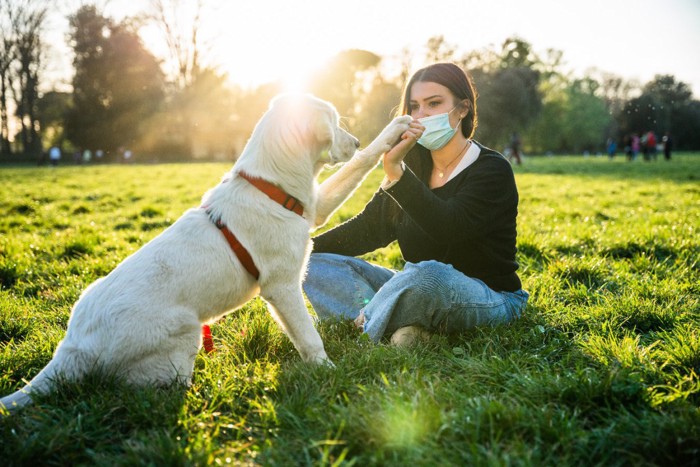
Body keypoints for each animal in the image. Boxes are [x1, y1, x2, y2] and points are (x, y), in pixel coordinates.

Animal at [1, 95, 410, 414]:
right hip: (183, 330)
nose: (355, 140)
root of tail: (72, 347)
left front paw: (394, 132)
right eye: (336, 123)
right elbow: (310, 338)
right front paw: (329, 373)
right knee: (139, 392)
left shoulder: (317, 209)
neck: (269, 185)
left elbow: (360, 165)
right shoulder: (281, 287)